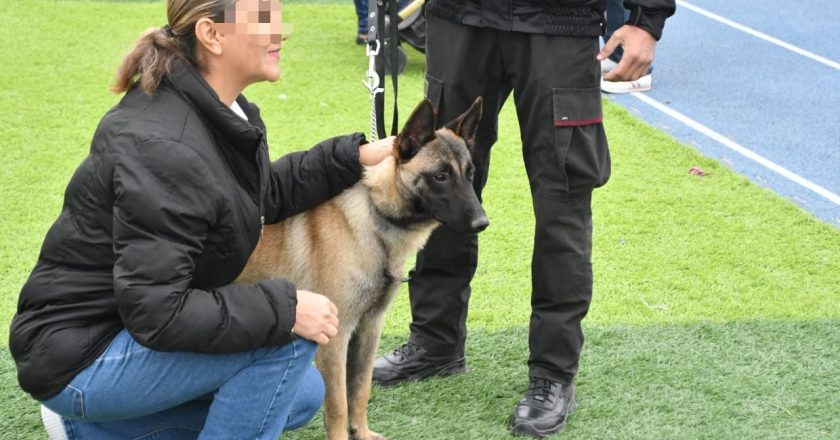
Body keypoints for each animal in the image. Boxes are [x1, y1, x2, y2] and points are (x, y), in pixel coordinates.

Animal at [236, 97, 486, 440]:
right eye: (440, 176)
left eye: (470, 173)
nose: (482, 223)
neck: (374, 214)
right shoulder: (335, 336)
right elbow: (339, 403)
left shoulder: (369, 328)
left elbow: (360, 389)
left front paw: (362, 432)